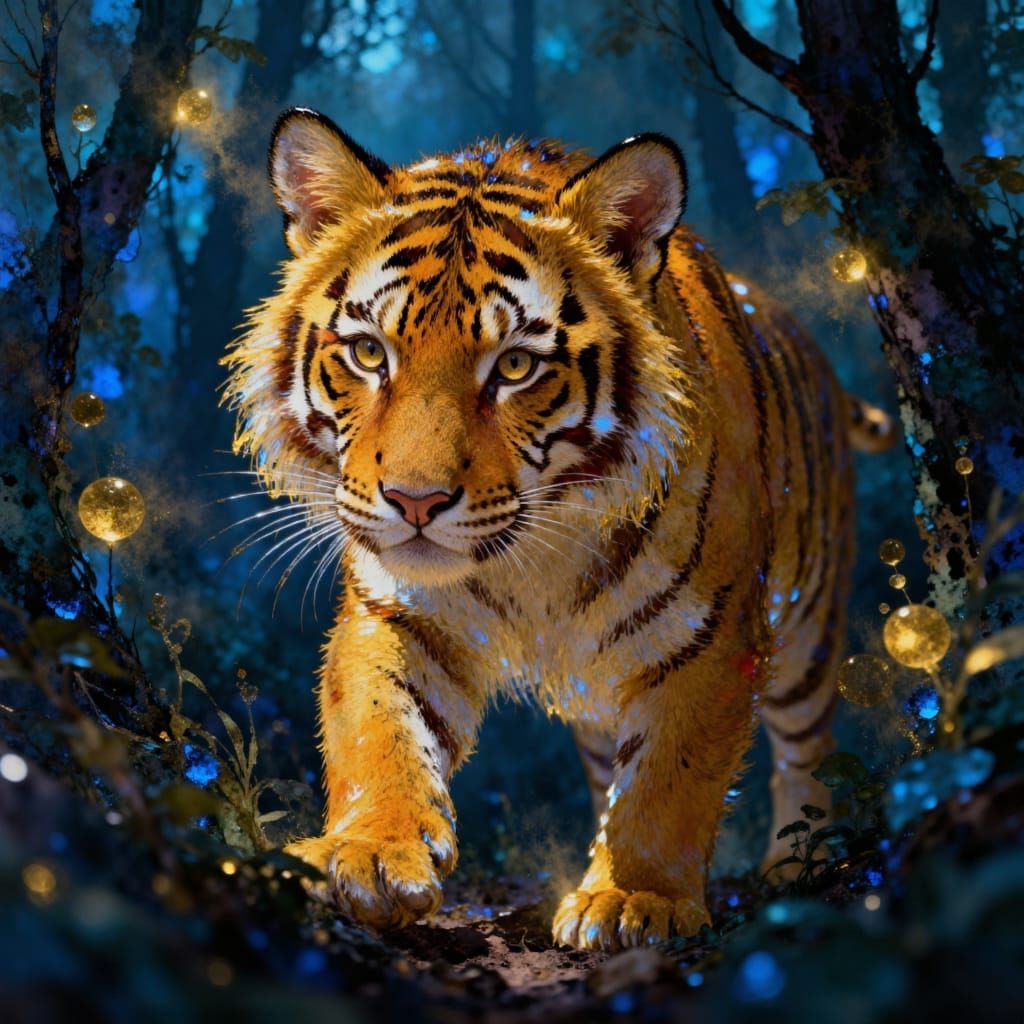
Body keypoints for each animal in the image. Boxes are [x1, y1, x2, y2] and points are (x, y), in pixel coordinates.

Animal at [222, 107, 894, 952]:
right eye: (370, 353)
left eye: (514, 367)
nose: (415, 500)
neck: (528, 563)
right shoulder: (397, 612)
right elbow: (376, 729)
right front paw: (370, 853)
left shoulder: (711, 640)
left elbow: (669, 783)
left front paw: (635, 897)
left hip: (806, 639)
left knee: (806, 751)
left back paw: (794, 868)